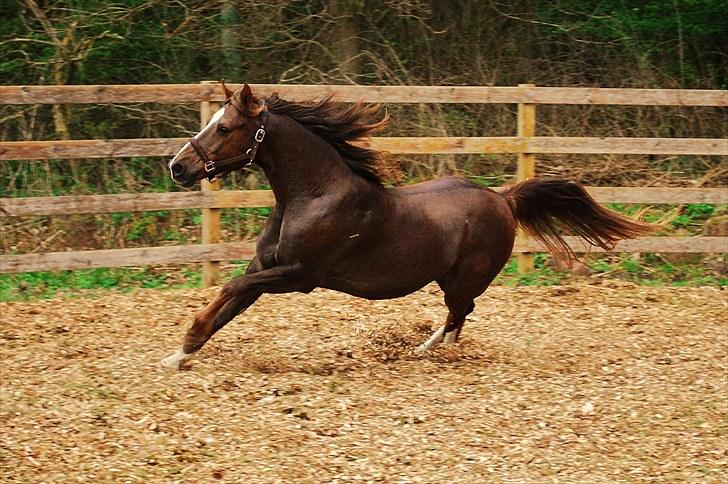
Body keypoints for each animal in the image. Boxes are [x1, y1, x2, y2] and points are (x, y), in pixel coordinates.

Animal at [162, 84, 656, 370]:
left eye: (225, 127)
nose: (177, 167)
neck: (311, 195)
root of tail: (503, 198)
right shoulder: (266, 269)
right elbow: (231, 303)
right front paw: (179, 354)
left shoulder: (300, 276)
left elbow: (229, 288)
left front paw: (185, 339)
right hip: (449, 277)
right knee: (461, 312)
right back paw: (425, 349)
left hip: (466, 276)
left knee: (461, 312)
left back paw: (434, 352)